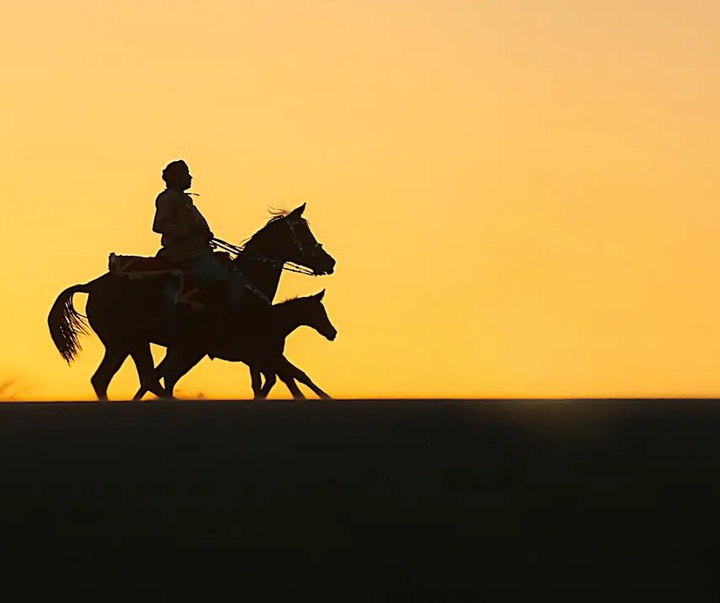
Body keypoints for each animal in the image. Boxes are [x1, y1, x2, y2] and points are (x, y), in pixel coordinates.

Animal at [47, 204, 334, 402]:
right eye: (302, 232)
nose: (330, 261)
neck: (248, 285)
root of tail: (92, 285)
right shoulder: (255, 349)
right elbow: (283, 377)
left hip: (125, 344)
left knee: (111, 380)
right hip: (129, 341)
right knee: (143, 379)